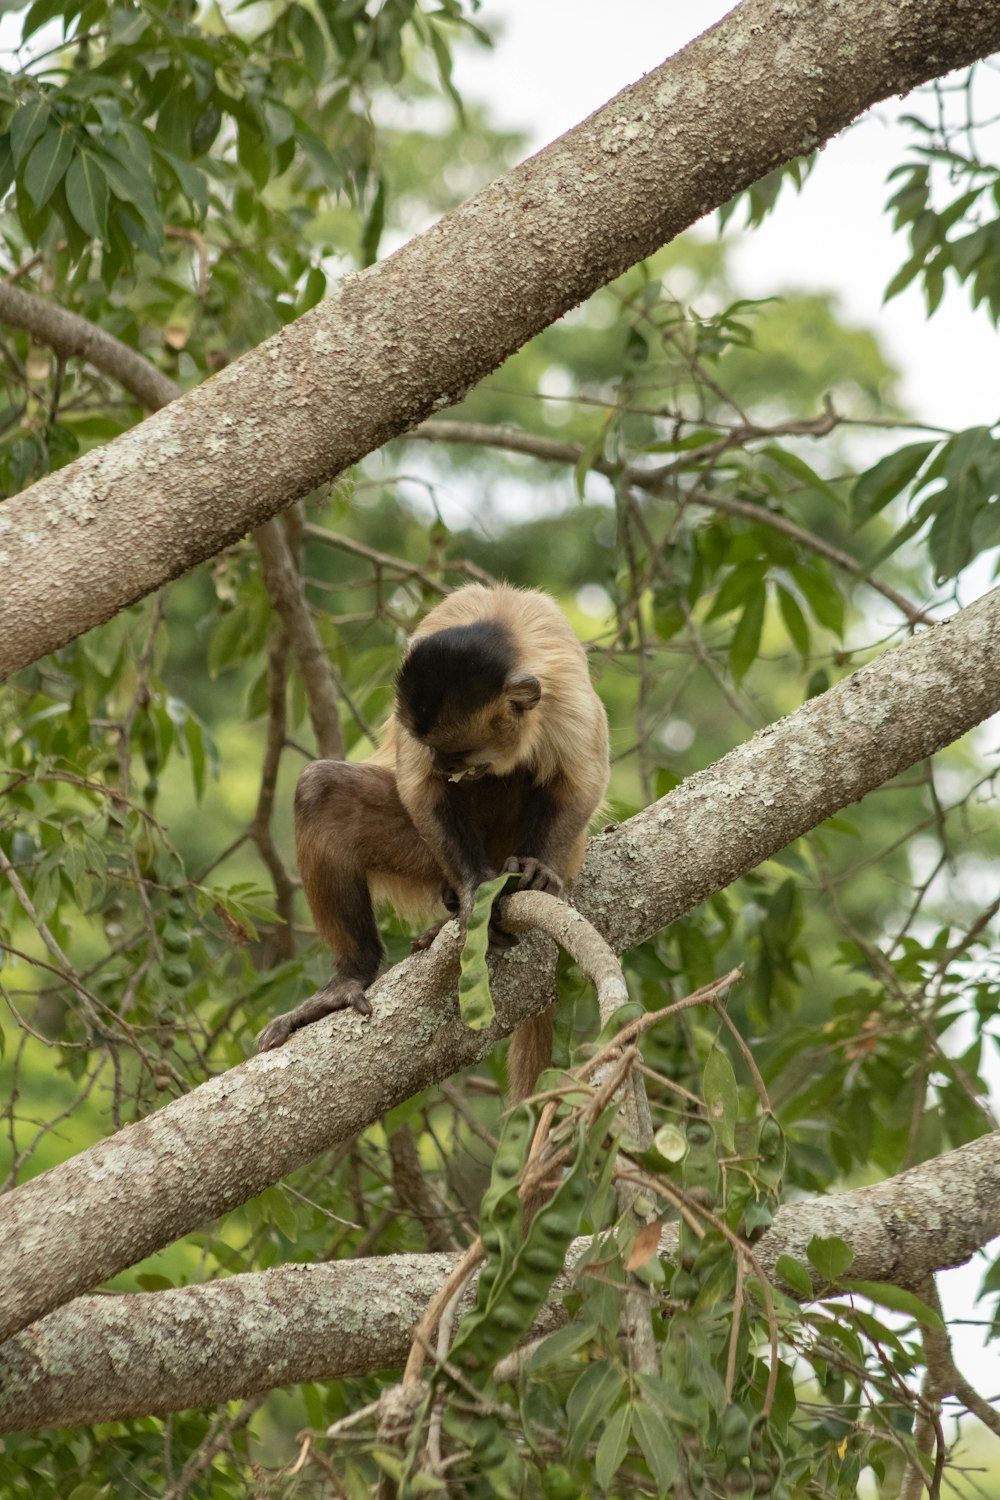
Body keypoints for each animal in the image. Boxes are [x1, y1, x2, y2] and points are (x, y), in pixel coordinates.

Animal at [257, 585, 611, 1104]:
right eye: (438, 751)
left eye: (460, 752)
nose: (445, 765)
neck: (505, 625)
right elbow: (420, 790)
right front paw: (472, 891)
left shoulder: (567, 695)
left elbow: (581, 779)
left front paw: (538, 871)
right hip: (425, 856)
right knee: (321, 791)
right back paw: (353, 975)